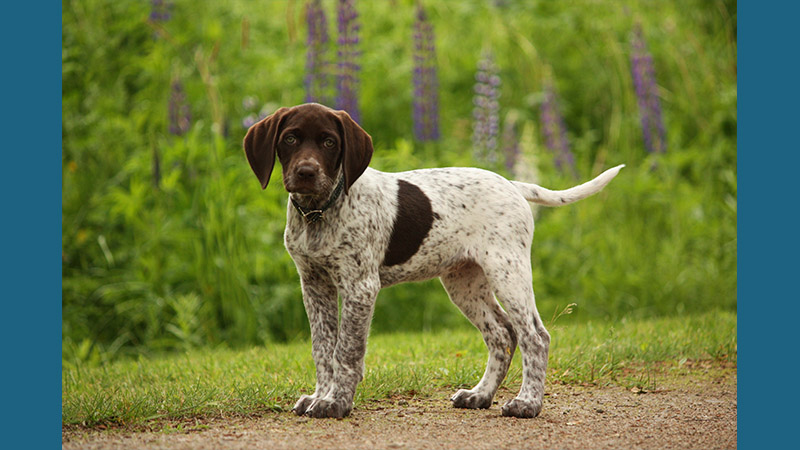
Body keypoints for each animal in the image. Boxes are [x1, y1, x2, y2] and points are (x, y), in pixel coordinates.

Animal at [244, 102, 624, 418]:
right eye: (290, 138)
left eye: (328, 142)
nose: (306, 173)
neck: (320, 211)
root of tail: (512, 184)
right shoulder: (314, 285)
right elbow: (322, 349)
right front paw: (320, 396)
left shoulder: (360, 287)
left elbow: (347, 351)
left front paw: (336, 402)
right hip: (464, 282)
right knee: (502, 334)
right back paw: (480, 395)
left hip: (507, 270)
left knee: (535, 335)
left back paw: (527, 403)